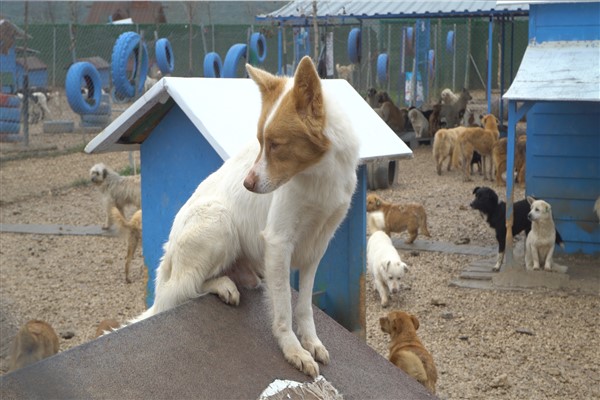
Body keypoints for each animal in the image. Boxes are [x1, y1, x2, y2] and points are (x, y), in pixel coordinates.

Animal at [126, 56, 358, 378]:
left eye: (276, 144)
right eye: (261, 141)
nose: (246, 185)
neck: (317, 176)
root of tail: (168, 254)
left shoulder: (317, 246)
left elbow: (304, 306)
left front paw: (310, 342)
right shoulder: (278, 241)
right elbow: (284, 306)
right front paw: (293, 350)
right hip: (221, 224)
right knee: (182, 293)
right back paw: (222, 287)